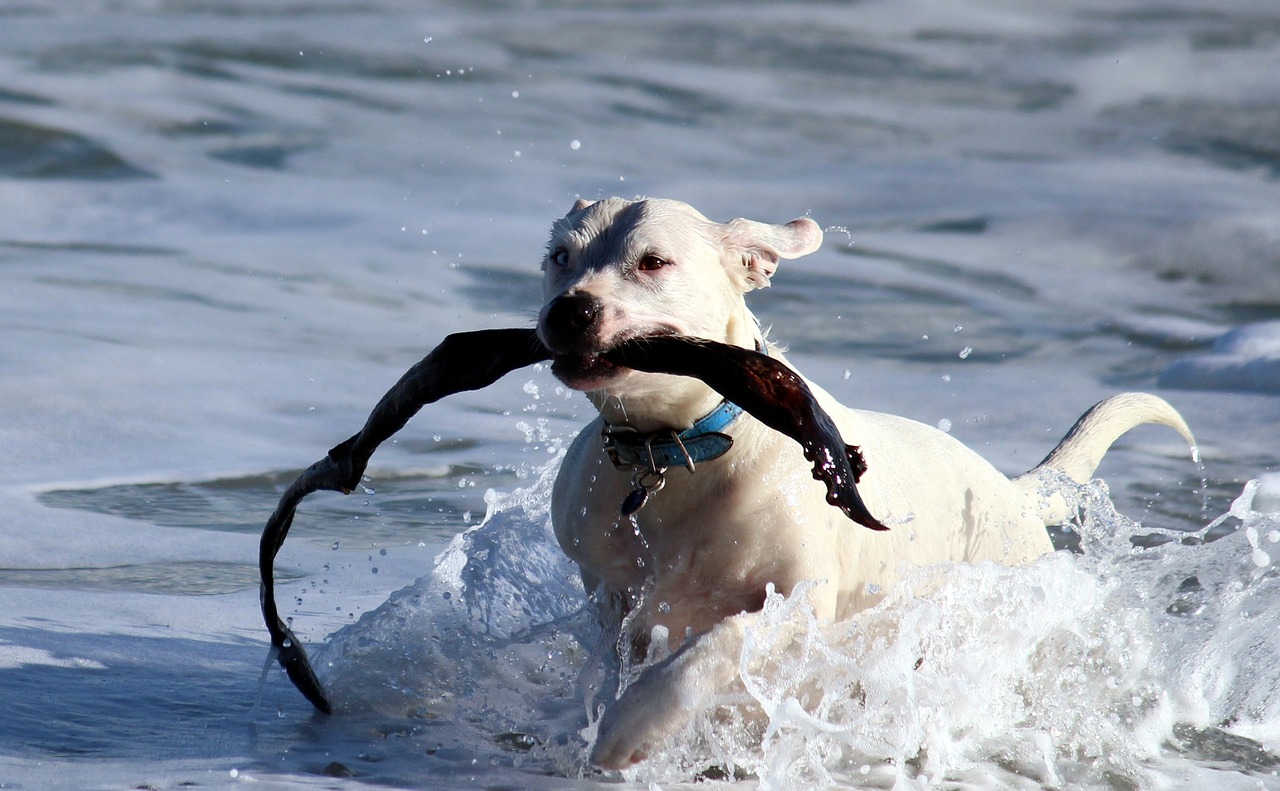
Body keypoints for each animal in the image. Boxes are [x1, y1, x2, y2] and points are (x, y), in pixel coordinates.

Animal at [535, 194, 1192, 767]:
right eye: (560, 257)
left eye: (653, 261)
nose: (568, 310)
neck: (675, 449)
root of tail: (1014, 494)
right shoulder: (613, 595)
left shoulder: (796, 606)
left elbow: (708, 654)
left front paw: (630, 727)